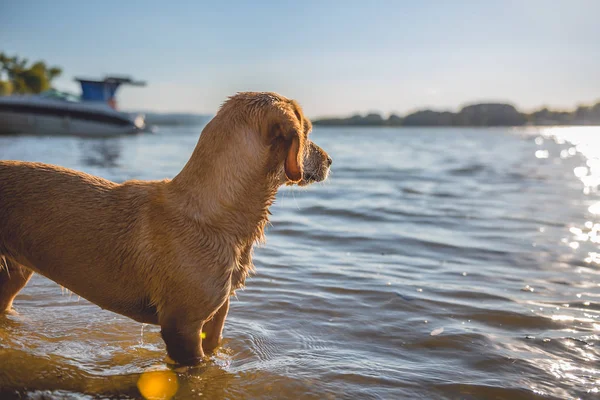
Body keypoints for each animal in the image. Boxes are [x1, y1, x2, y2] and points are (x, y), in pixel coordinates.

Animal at [0, 91, 332, 366]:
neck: (215, 217)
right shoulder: (181, 327)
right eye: (308, 131)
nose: (330, 160)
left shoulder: (215, 319)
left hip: (13, 275)